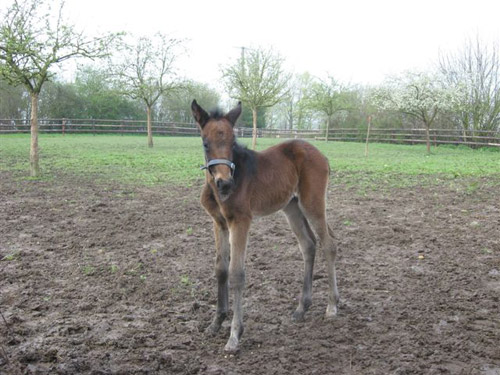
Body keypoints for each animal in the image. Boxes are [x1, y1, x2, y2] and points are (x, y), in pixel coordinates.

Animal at [191, 99, 340, 352]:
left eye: (232, 142)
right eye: (205, 143)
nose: (225, 183)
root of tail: (322, 154)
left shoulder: (240, 221)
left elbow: (236, 273)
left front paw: (234, 335)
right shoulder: (218, 223)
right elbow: (221, 269)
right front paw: (216, 323)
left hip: (312, 203)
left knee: (328, 243)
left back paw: (332, 306)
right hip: (291, 207)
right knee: (308, 244)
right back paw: (302, 308)